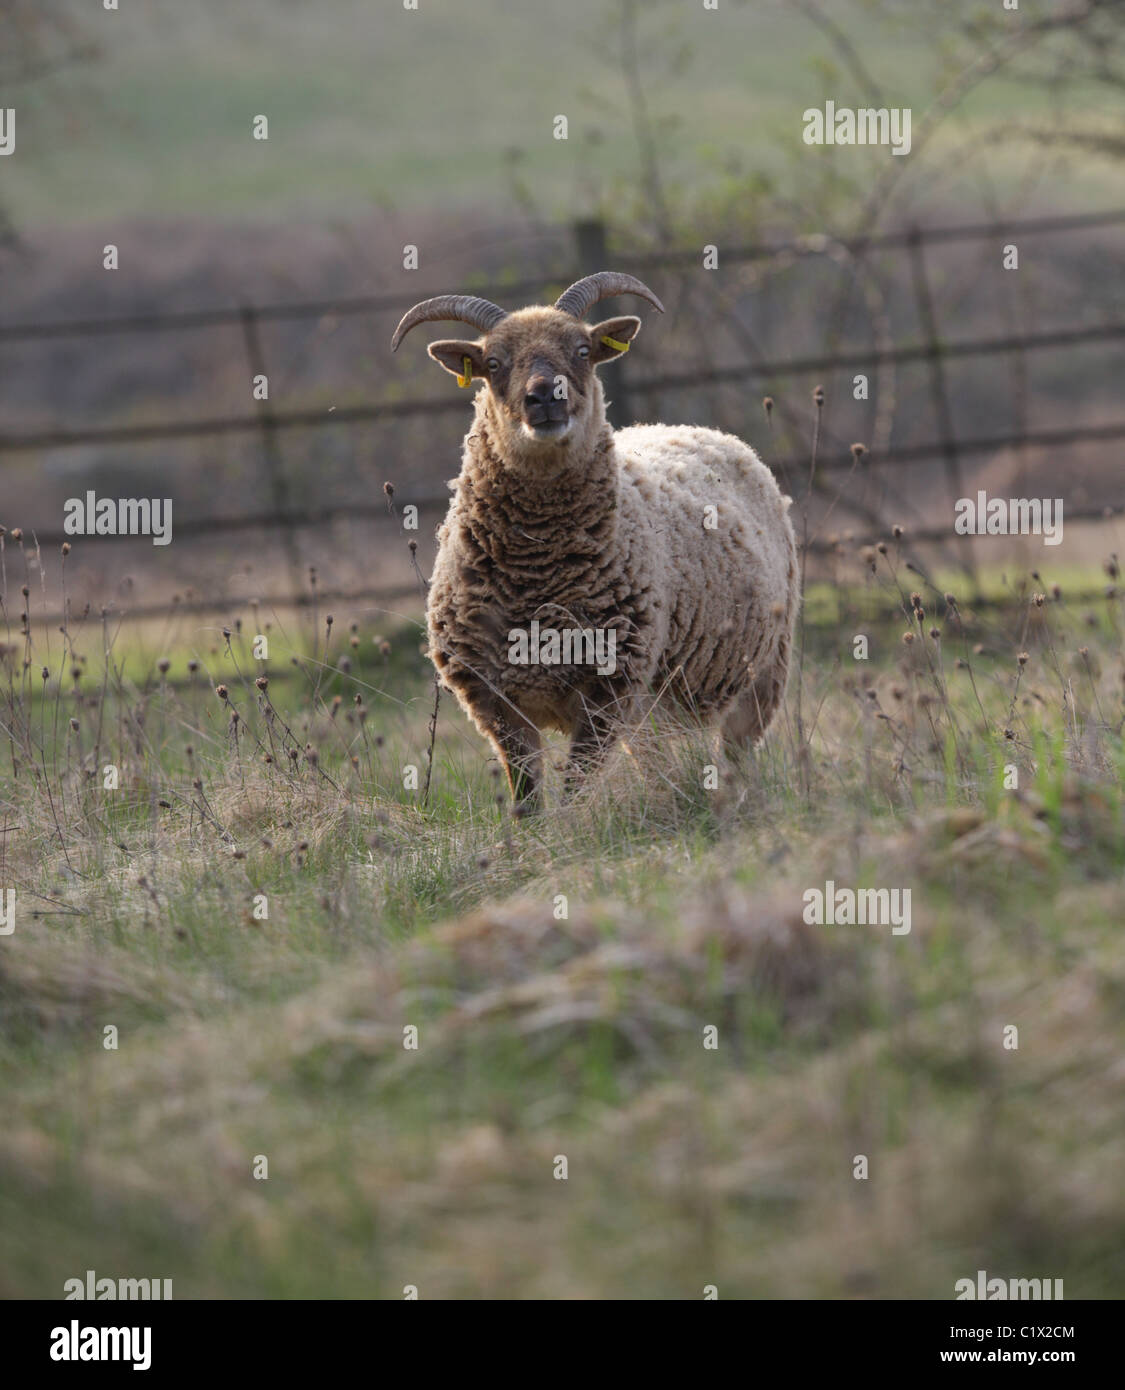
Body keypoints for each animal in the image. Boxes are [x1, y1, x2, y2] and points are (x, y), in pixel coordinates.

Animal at [392, 269, 800, 806]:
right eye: (493, 363)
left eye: (583, 350)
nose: (546, 397)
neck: (536, 573)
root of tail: (694, 429)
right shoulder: (495, 701)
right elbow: (527, 797)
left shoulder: (609, 691)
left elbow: (575, 791)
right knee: (660, 761)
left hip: (760, 674)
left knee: (732, 756)